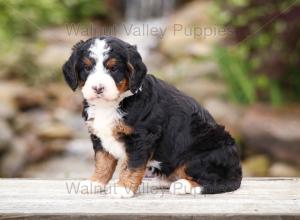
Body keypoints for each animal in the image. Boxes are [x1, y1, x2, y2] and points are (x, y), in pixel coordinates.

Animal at [62, 35, 243, 198]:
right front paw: (94, 183)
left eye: (113, 68)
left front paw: (123, 189)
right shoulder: (99, 137)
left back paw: (183, 185)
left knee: (219, 182)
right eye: (87, 68)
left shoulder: (141, 138)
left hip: (200, 156)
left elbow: (131, 166)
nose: (98, 88)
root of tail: (237, 168)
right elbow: (102, 163)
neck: (112, 104)